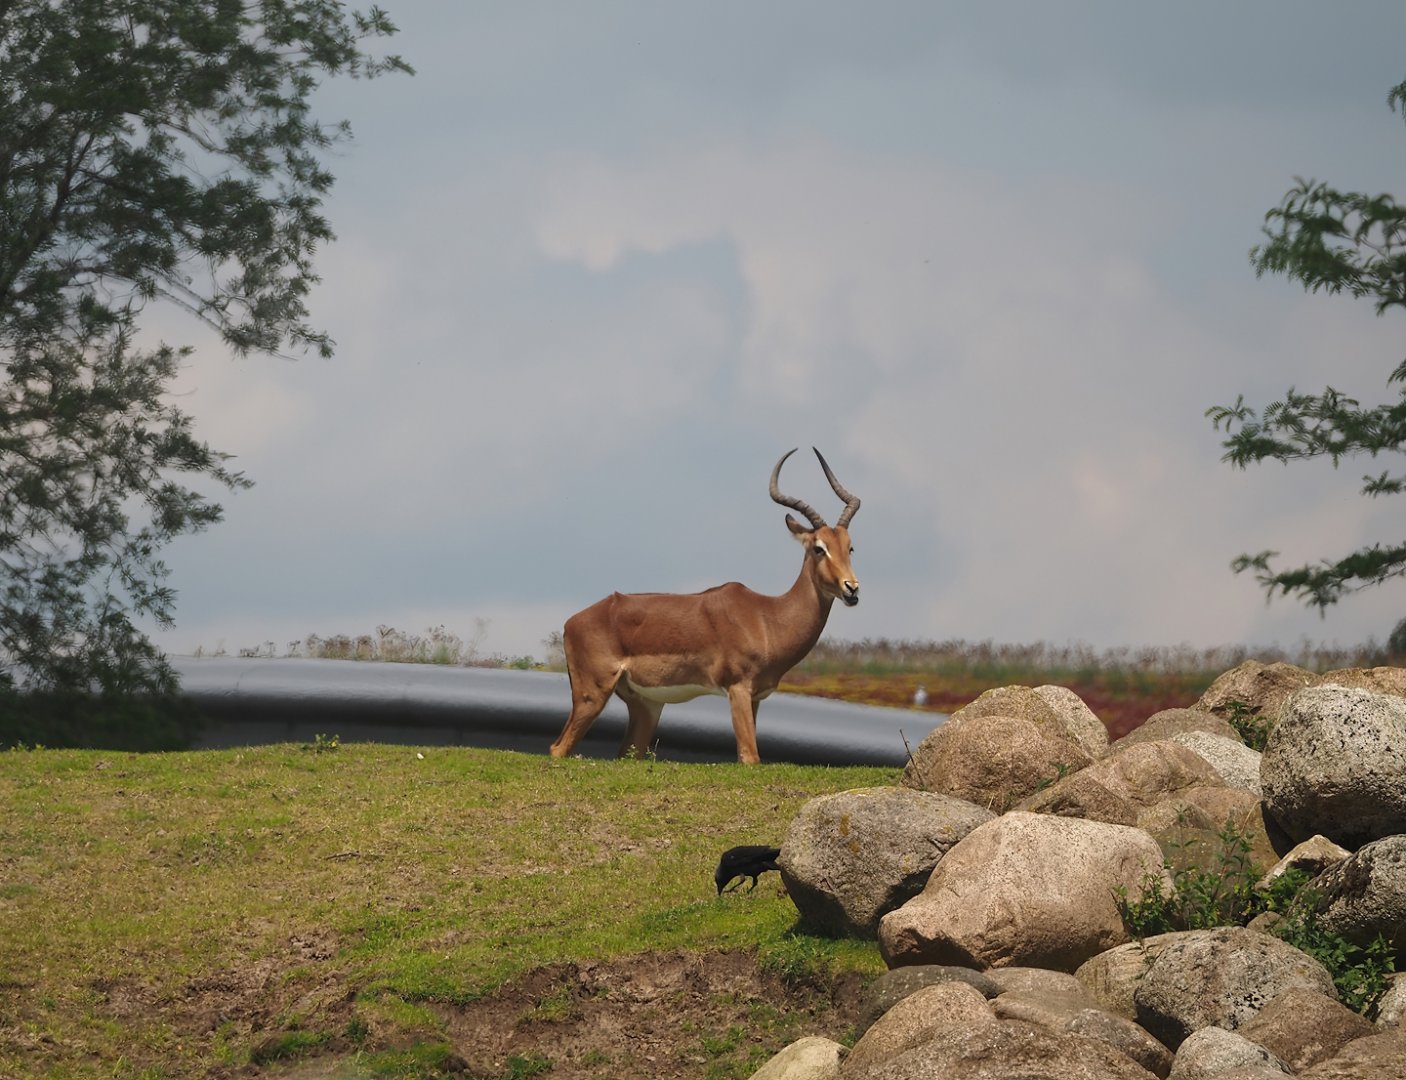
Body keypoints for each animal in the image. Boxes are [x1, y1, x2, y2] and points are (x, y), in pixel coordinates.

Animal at [549, 447, 861, 764]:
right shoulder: (738, 689)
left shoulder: (755, 697)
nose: (851, 588)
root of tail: (572, 622)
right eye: (819, 548)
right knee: (557, 749)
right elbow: (750, 758)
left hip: (647, 705)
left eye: (849, 547)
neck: (767, 617)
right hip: (592, 694)